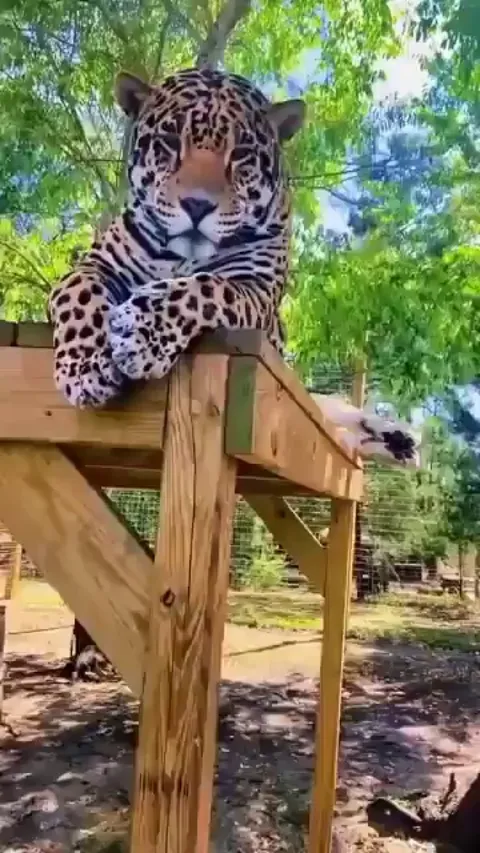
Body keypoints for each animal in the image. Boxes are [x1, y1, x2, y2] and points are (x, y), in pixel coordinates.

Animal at [48, 66, 419, 466]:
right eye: (169, 142)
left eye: (241, 154)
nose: (197, 205)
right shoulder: (97, 264)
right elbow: (79, 294)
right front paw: (85, 367)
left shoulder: (252, 288)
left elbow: (203, 288)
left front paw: (140, 335)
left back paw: (401, 440)